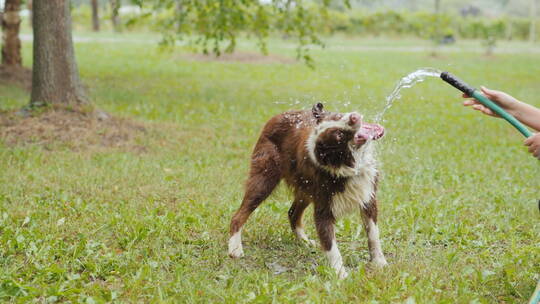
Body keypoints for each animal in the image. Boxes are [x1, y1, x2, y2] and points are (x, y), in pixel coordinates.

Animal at [228, 102, 388, 278]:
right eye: (338, 135)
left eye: (338, 116)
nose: (353, 117)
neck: (347, 167)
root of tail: (275, 117)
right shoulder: (324, 208)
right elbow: (331, 247)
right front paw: (341, 275)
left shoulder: (368, 197)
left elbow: (373, 235)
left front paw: (380, 262)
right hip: (264, 180)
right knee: (238, 215)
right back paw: (235, 248)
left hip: (306, 188)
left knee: (292, 213)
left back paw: (304, 241)